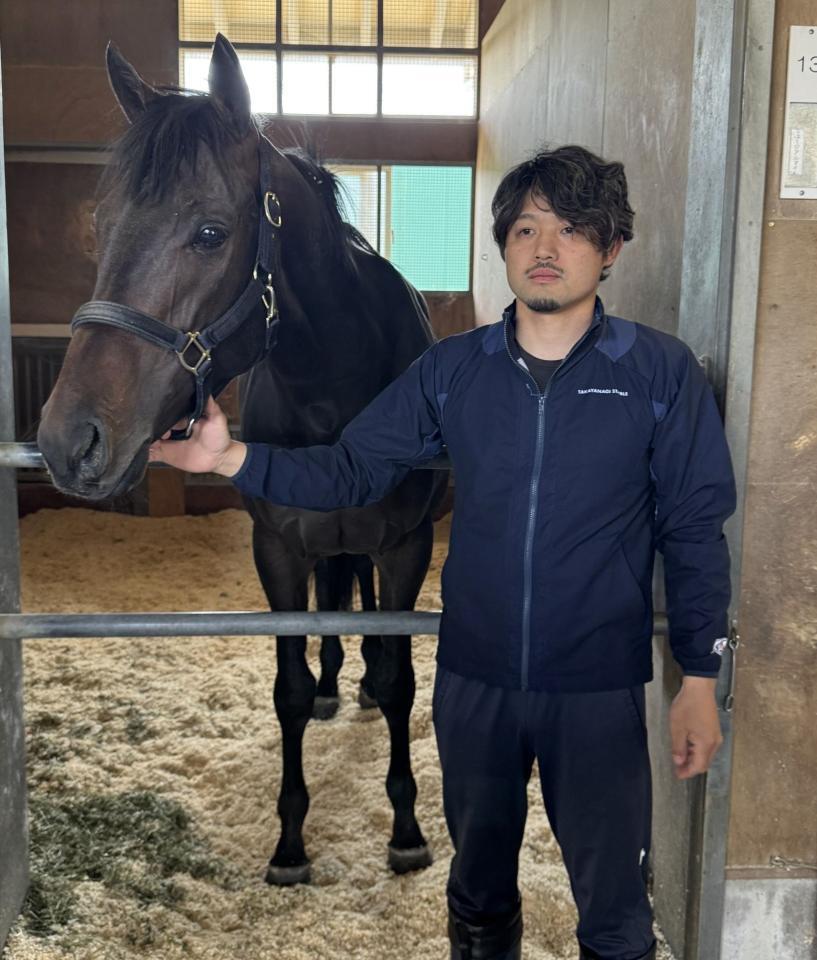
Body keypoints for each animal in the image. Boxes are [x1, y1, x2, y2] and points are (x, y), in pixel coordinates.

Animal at [36, 34, 447, 886]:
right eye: (102, 222)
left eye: (209, 233)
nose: (69, 439)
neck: (335, 386)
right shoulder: (278, 548)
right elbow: (288, 687)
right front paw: (290, 841)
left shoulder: (405, 546)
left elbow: (401, 682)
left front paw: (404, 828)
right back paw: (336, 683)